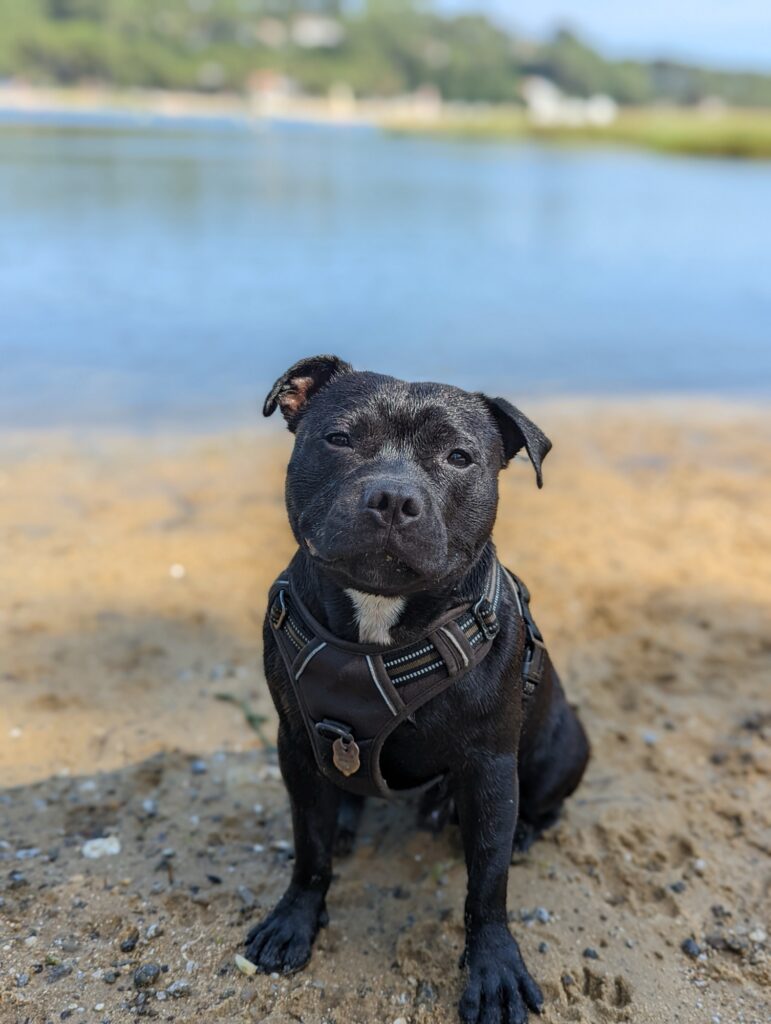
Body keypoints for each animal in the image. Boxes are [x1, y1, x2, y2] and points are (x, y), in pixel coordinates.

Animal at [243, 354, 585, 1024]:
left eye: (459, 457)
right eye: (339, 438)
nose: (393, 497)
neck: (380, 619)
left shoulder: (489, 768)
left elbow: (488, 884)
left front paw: (494, 969)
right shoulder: (295, 742)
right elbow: (309, 849)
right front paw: (294, 921)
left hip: (564, 745)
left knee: (544, 804)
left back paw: (521, 830)